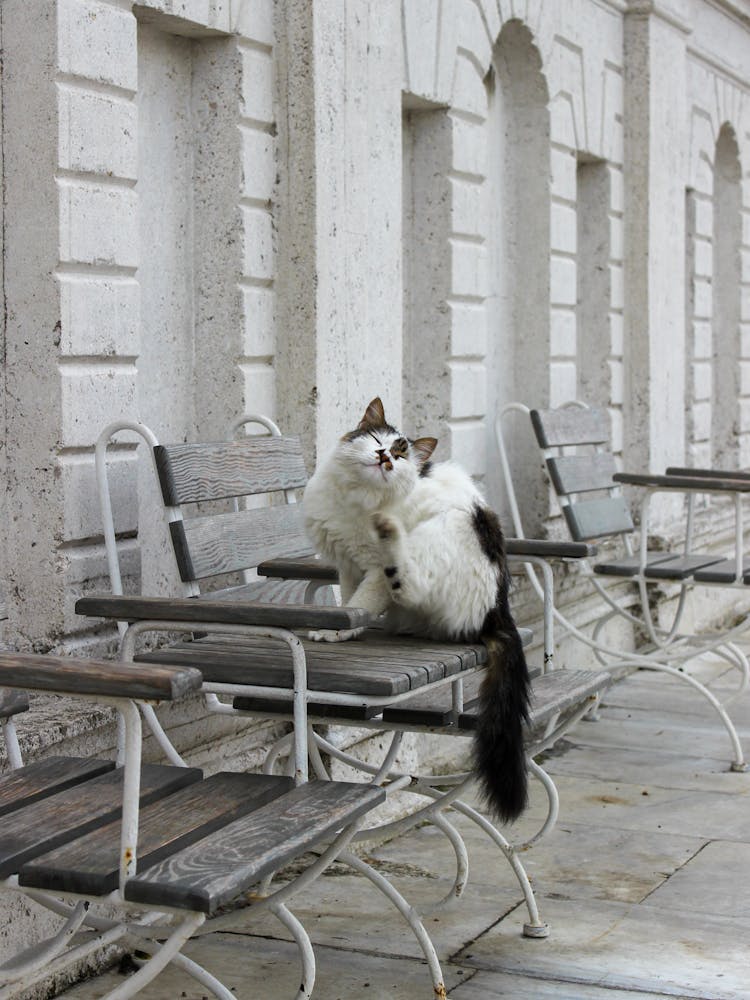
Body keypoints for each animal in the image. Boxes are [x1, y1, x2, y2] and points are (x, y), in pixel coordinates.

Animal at [302, 394, 532, 824]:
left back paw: (390, 532)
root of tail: (498, 607)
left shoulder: (371, 572)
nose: (383, 458)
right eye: (378, 440)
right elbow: (349, 601)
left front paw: (337, 631)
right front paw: (347, 628)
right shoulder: (348, 567)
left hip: (439, 531)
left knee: (406, 582)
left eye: (401, 454)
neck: (357, 500)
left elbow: (361, 601)